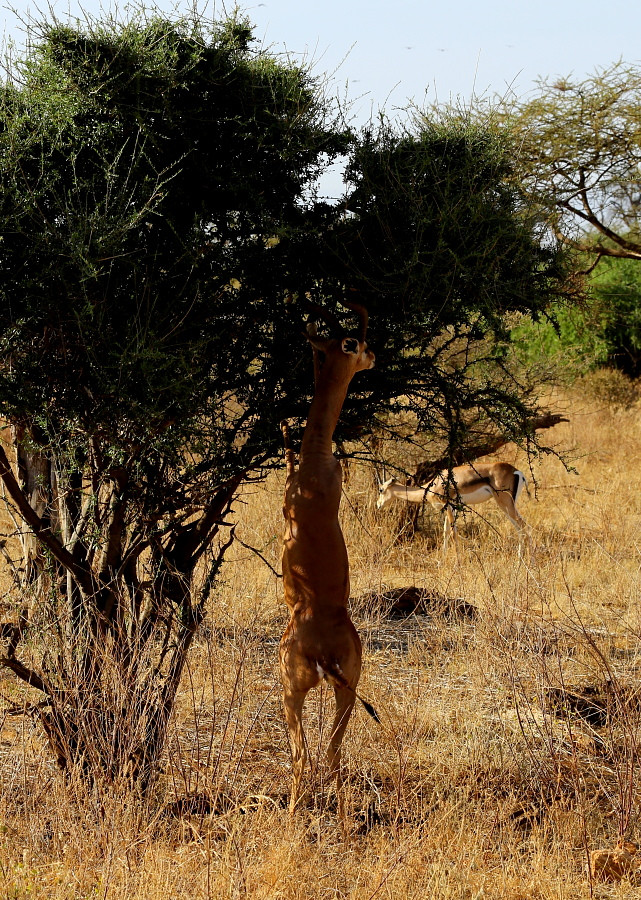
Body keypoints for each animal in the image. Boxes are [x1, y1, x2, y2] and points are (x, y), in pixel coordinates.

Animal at [378, 460, 532, 560]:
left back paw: (531, 563)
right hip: (509, 505)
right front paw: (442, 561)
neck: (434, 485)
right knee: (520, 530)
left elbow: (453, 533)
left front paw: (457, 564)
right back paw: (520, 561)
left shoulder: (449, 506)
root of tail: (516, 471)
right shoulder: (450, 508)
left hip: (505, 503)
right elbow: (446, 532)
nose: (378, 505)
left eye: (381, 489)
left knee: (526, 527)